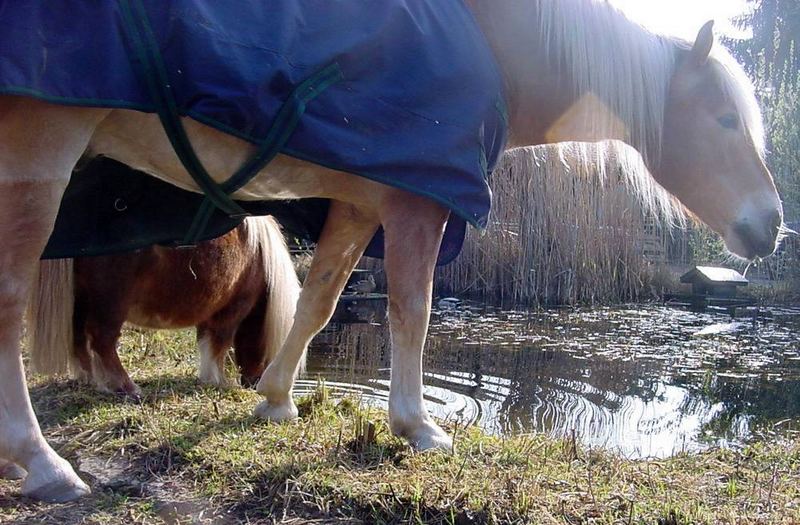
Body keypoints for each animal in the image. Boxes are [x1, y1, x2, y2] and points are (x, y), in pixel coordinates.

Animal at [26, 213, 300, 398]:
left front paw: (208, 378)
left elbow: (206, 342)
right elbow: (219, 345)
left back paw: (91, 381)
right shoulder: (232, 311)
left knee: (79, 340)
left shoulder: (209, 312)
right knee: (102, 340)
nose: (254, 382)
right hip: (110, 304)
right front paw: (219, 381)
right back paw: (127, 388)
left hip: (81, 302)